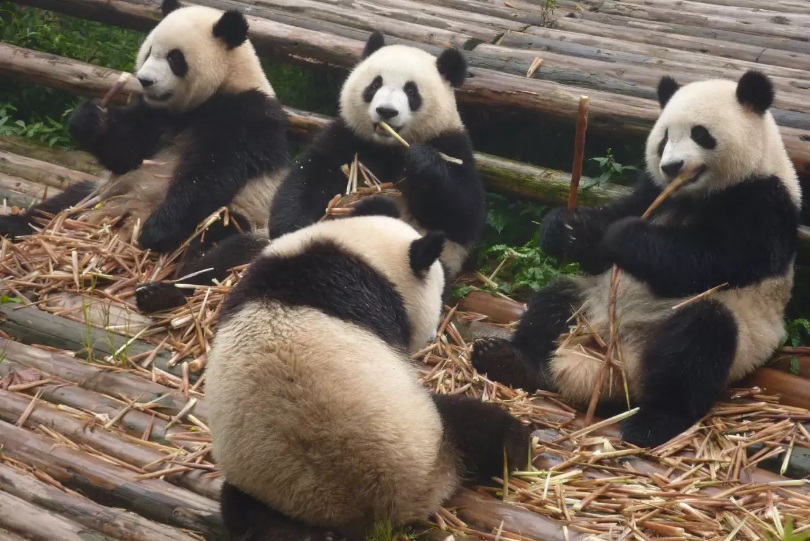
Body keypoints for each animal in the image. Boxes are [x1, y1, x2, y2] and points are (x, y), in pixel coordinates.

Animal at [0, 0, 288, 266]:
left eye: (174, 58)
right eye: (149, 52)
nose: (145, 81)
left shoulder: (246, 115)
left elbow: (211, 172)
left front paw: (156, 231)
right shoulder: (154, 114)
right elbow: (126, 152)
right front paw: (90, 119)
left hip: (246, 213)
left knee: (219, 235)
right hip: (102, 191)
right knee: (62, 203)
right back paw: (13, 224)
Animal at [205, 197, 528, 540]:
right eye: (440, 294)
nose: (433, 333)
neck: (360, 252)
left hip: (270, 493)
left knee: (246, 511)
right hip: (431, 435)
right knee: (477, 424)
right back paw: (517, 448)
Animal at [470, 70, 800, 448]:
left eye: (700, 134)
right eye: (664, 137)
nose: (671, 166)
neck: (694, 194)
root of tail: (611, 363)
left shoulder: (764, 203)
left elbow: (712, 260)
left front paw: (625, 237)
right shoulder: (652, 190)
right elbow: (611, 230)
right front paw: (565, 229)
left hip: (734, 336)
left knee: (699, 341)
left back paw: (653, 423)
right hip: (589, 304)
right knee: (554, 301)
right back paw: (508, 359)